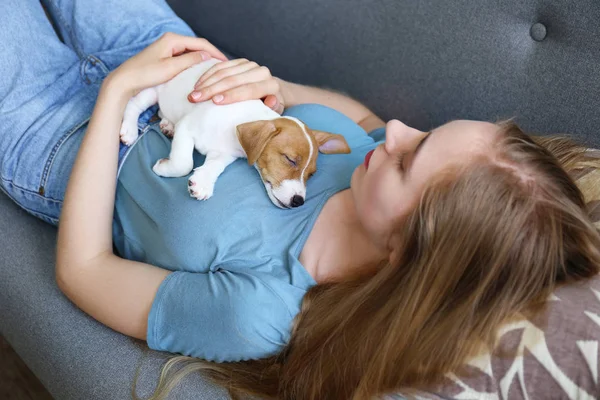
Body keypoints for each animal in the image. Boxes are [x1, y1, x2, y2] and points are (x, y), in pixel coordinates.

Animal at [118, 60, 352, 209]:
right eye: (290, 159)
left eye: (311, 174)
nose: (298, 202)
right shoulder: (188, 128)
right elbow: (183, 163)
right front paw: (164, 167)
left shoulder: (224, 154)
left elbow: (215, 166)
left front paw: (203, 182)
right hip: (154, 89)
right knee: (134, 104)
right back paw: (129, 129)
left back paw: (167, 124)